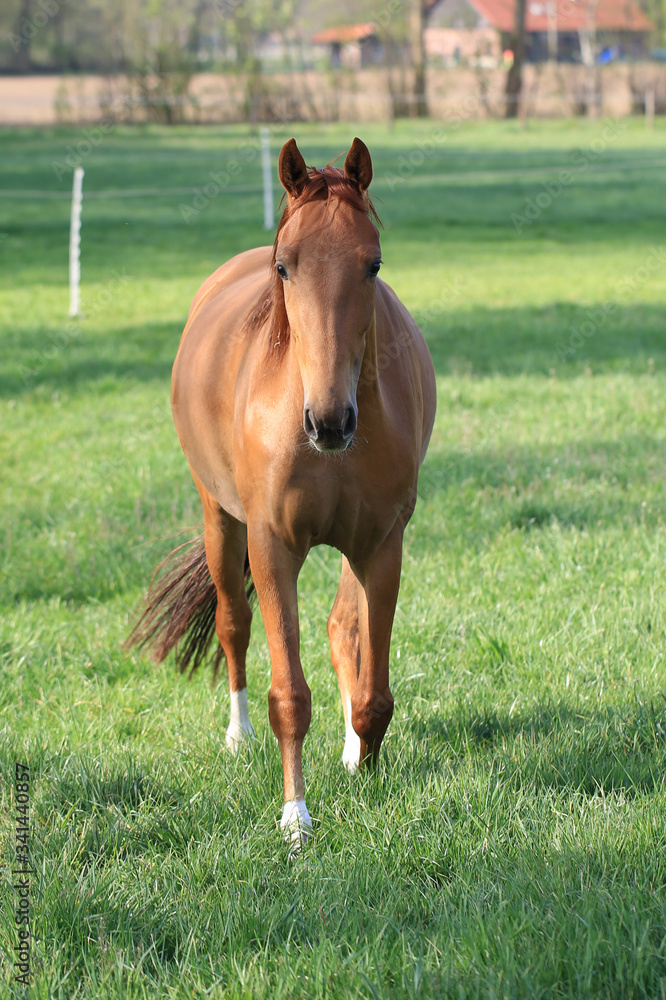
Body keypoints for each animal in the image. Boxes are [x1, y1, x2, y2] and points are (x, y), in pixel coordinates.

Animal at [127, 137, 436, 846]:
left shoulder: (381, 545)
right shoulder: (272, 549)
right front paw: (296, 816)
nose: (330, 422)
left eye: (373, 263)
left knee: (343, 627)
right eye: (286, 266)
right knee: (233, 625)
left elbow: (372, 686)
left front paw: (363, 766)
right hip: (220, 519)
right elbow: (289, 694)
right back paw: (237, 735)